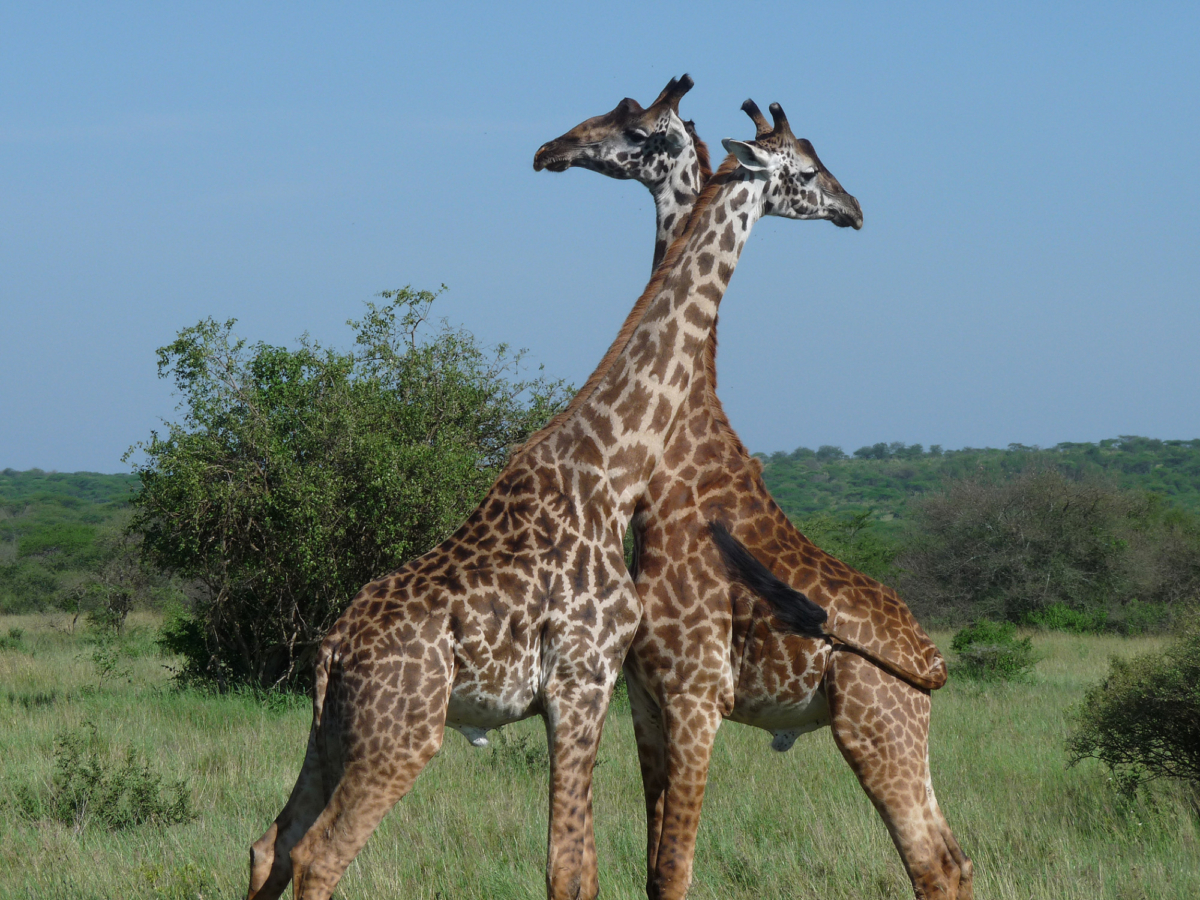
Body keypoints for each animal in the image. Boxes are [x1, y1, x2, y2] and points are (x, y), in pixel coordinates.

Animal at [246, 101, 862, 900]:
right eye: (808, 171)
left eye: (631, 120)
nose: (854, 209)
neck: (612, 470)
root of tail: (334, 650)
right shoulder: (583, 681)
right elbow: (570, 869)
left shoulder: (592, 690)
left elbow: (585, 864)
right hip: (401, 735)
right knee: (320, 855)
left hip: (331, 731)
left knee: (273, 844)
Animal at [536, 78, 972, 900]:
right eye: (620, 114)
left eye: (636, 127)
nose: (551, 150)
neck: (675, 470)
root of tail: (932, 662)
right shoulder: (645, 700)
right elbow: (651, 867)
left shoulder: (696, 695)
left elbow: (674, 867)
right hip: (901, 731)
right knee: (955, 856)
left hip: (875, 724)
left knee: (930, 861)